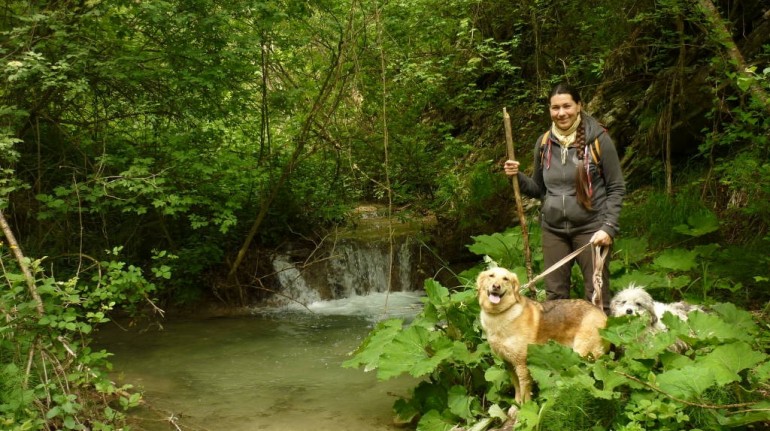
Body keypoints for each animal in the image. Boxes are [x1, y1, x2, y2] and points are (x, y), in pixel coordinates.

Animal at [474, 266, 608, 404]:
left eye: (505, 278)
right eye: (491, 275)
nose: (496, 286)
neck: (500, 314)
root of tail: (603, 315)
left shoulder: (522, 365)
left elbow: (524, 392)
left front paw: (524, 407)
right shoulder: (509, 364)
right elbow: (517, 388)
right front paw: (516, 404)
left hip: (583, 355)